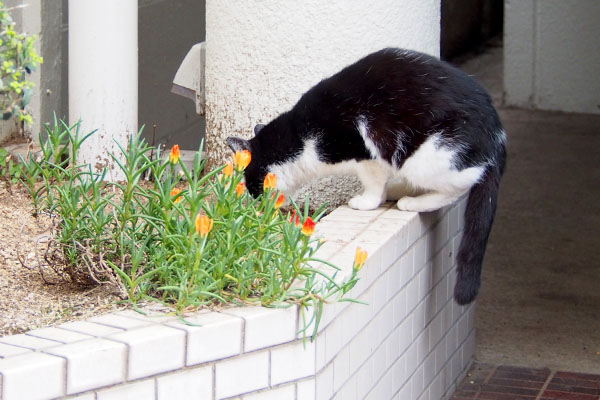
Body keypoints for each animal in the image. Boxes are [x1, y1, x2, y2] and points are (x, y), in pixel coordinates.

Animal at [227, 48, 504, 304]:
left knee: (459, 186)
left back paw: (411, 202)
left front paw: (367, 202)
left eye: (251, 185)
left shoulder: (365, 150)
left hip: (429, 155)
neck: (299, 139)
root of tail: (497, 138)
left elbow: (372, 182)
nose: (257, 205)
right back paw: (400, 190)